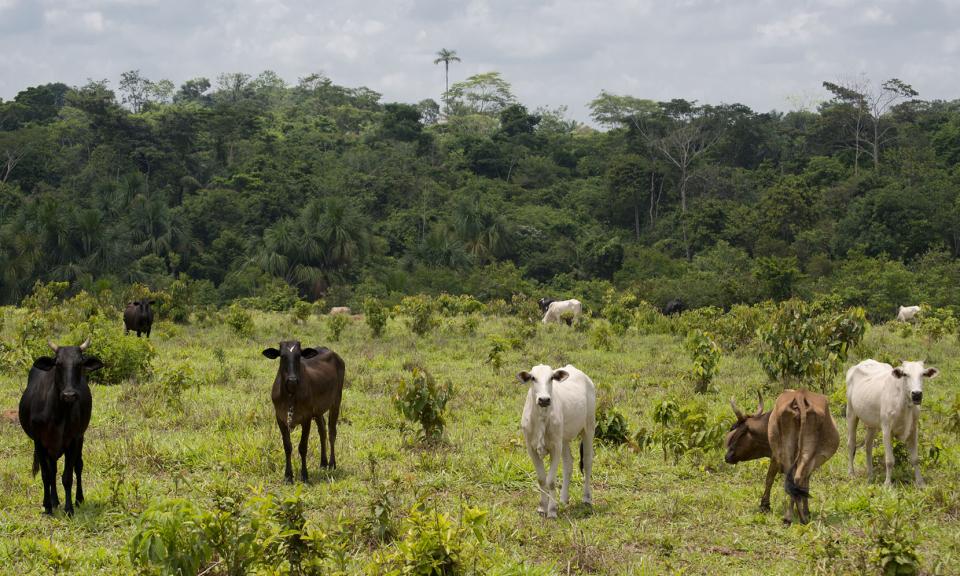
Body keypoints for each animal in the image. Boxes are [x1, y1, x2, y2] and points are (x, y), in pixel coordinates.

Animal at [18, 340, 102, 516]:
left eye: (79, 364)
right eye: (58, 363)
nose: (69, 395)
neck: (57, 414)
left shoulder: (73, 439)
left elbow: (67, 476)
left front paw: (69, 509)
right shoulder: (39, 441)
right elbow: (46, 475)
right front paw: (48, 506)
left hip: (80, 438)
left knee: (78, 466)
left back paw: (78, 499)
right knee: (52, 471)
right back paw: (54, 501)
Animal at [264, 340, 346, 484]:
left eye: (298, 356)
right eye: (282, 356)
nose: (292, 380)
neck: (290, 395)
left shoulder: (306, 418)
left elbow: (302, 447)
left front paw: (304, 475)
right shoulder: (280, 418)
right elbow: (287, 446)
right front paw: (288, 476)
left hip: (336, 401)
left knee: (332, 433)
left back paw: (331, 463)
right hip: (318, 411)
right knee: (322, 432)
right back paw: (323, 463)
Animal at [516, 364, 592, 516]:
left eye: (551, 378)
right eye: (533, 378)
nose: (544, 399)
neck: (541, 418)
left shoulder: (555, 448)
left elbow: (550, 480)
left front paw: (551, 510)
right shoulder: (531, 449)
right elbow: (541, 479)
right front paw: (542, 507)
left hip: (589, 427)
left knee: (587, 462)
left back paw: (586, 498)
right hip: (564, 439)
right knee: (568, 463)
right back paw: (563, 499)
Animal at [724, 390, 836, 524]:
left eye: (738, 432)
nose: (727, 456)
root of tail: (800, 394)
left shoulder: (775, 457)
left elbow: (769, 479)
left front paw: (764, 505)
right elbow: (805, 484)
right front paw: (806, 511)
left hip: (784, 451)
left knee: (791, 478)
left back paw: (789, 517)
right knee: (797, 478)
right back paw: (800, 517)